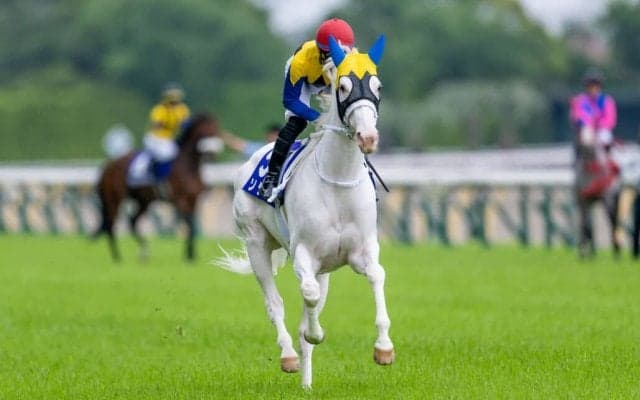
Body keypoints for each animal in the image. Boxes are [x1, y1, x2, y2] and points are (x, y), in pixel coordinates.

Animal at [94, 113, 221, 262]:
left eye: (216, 130)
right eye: (205, 131)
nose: (211, 154)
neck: (187, 166)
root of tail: (108, 165)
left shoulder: (193, 200)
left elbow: (192, 227)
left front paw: (191, 254)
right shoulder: (180, 201)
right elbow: (189, 225)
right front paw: (189, 255)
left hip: (144, 201)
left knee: (132, 221)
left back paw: (143, 252)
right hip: (114, 199)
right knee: (111, 225)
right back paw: (117, 257)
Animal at [216, 35, 393, 388]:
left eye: (377, 86)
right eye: (343, 87)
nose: (368, 137)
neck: (337, 181)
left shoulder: (360, 251)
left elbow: (376, 276)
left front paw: (384, 348)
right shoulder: (304, 254)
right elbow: (307, 297)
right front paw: (315, 334)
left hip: (325, 268)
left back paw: (307, 384)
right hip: (256, 243)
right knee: (275, 304)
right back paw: (288, 356)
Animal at [574, 126, 622, 259]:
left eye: (593, 132)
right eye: (581, 128)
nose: (585, 142)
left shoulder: (608, 197)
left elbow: (611, 221)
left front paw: (616, 250)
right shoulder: (584, 199)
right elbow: (587, 225)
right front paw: (587, 254)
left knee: (613, 221)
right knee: (585, 223)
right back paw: (586, 251)